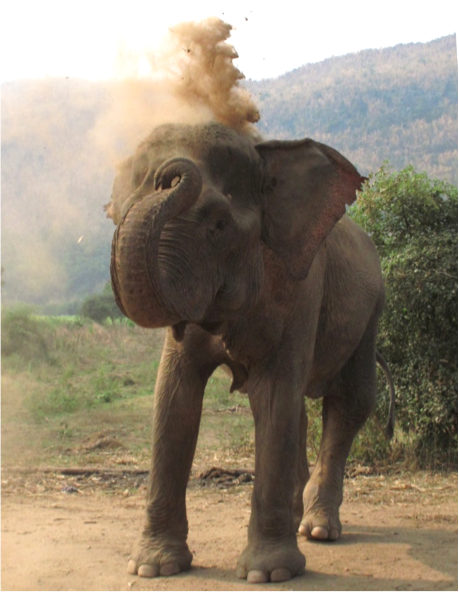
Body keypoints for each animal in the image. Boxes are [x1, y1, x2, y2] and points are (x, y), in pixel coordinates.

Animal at [107, 122, 396, 584]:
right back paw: (298, 519)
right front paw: (154, 567)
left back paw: (317, 529)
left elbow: (273, 394)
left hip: (371, 310)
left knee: (350, 401)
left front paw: (269, 574)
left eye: (220, 225)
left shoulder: (303, 287)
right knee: (302, 409)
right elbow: (174, 396)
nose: (168, 173)